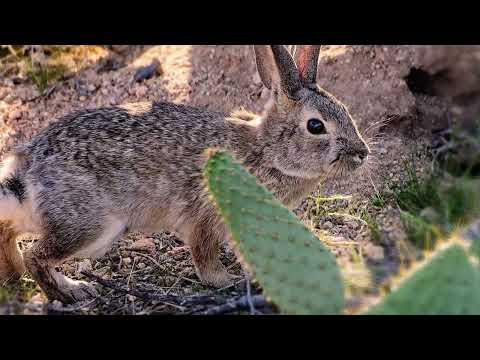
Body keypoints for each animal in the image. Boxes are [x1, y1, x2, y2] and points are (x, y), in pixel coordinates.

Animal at [0, 45, 372, 304]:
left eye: (346, 110)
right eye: (315, 126)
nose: (362, 152)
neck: (266, 152)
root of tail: (28, 167)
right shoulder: (205, 216)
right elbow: (205, 259)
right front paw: (227, 282)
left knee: (10, 234)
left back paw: (14, 275)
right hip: (92, 227)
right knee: (38, 255)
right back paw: (70, 291)